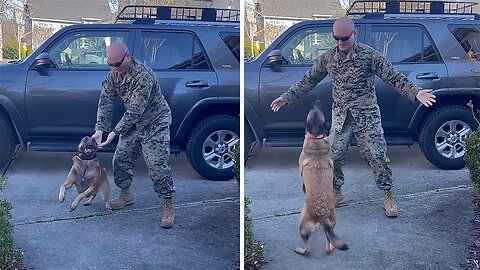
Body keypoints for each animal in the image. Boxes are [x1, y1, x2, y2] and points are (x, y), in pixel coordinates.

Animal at [292, 100, 348, 256]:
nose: (317, 100)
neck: (316, 137)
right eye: (317, 109)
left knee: (307, 249)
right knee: (329, 244)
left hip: (302, 226)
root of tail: (321, 214)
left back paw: (300, 250)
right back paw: (332, 247)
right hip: (332, 223)